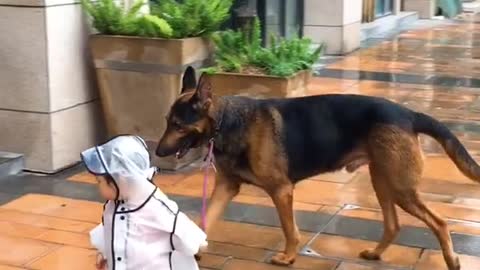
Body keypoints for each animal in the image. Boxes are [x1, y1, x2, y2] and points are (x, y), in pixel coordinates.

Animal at [156, 74, 478, 270]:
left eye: (179, 126)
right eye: (167, 121)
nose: (157, 153)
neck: (228, 121)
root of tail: (409, 114)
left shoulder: (281, 191)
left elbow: (289, 229)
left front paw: (288, 256)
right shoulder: (226, 188)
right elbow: (205, 219)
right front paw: (193, 247)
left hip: (400, 188)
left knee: (440, 223)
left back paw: (452, 259)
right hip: (383, 182)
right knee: (393, 225)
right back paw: (375, 254)